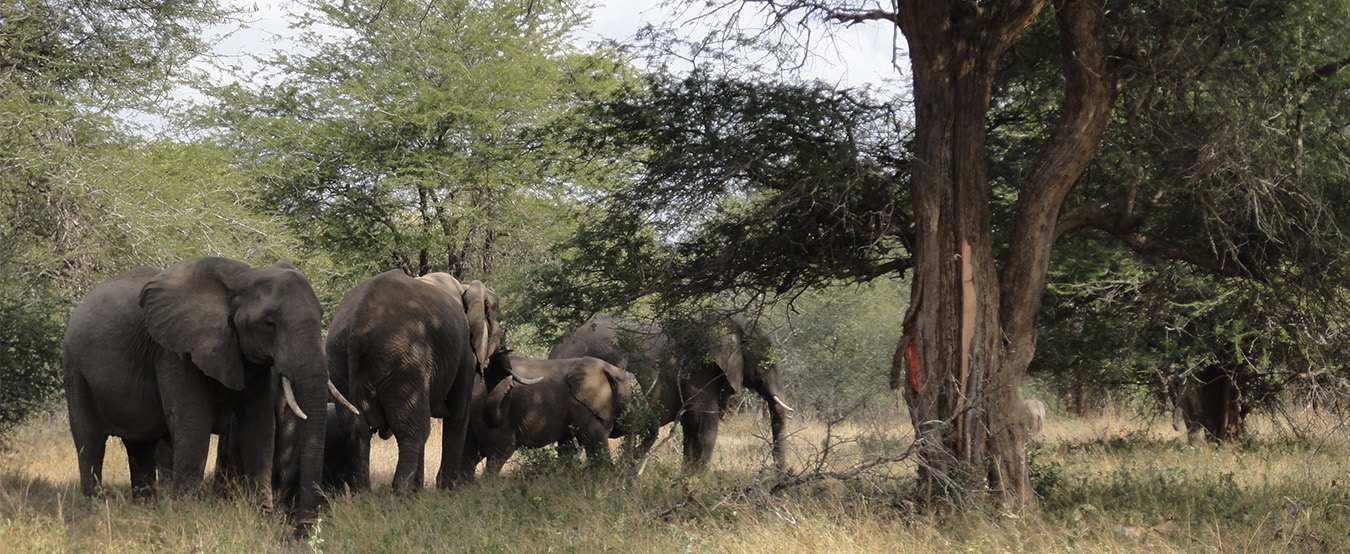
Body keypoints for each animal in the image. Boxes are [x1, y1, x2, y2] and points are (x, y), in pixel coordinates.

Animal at [63, 258, 342, 529]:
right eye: (269, 324)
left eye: (321, 315)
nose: (302, 529)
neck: (242, 279)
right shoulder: (174, 353)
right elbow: (193, 426)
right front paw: (187, 520)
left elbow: (259, 426)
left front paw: (263, 522)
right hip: (75, 370)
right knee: (90, 444)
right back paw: (92, 514)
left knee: (139, 446)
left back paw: (145, 511)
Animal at [325, 270, 531, 491]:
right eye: (501, 335)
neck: (467, 288)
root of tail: (357, 326)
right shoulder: (464, 350)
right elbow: (458, 412)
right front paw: (448, 489)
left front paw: (421, 490)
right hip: (403, 359)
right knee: (414, 431)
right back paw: (401, 495)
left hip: (338, 360)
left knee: (357, 430)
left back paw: (364, 494)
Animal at [467, 356, 639, 472]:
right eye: (629, 397)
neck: (606, 368)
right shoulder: (580, 405)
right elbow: (594, 440)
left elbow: (567, 446)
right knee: (500, 453)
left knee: (470, 455)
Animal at [545, 313, 788, 470]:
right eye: (767, 362)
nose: (780, 477)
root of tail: (556, 350)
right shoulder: (698, 371)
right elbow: (703, 423)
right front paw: (696, 485)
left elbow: (691, 426)